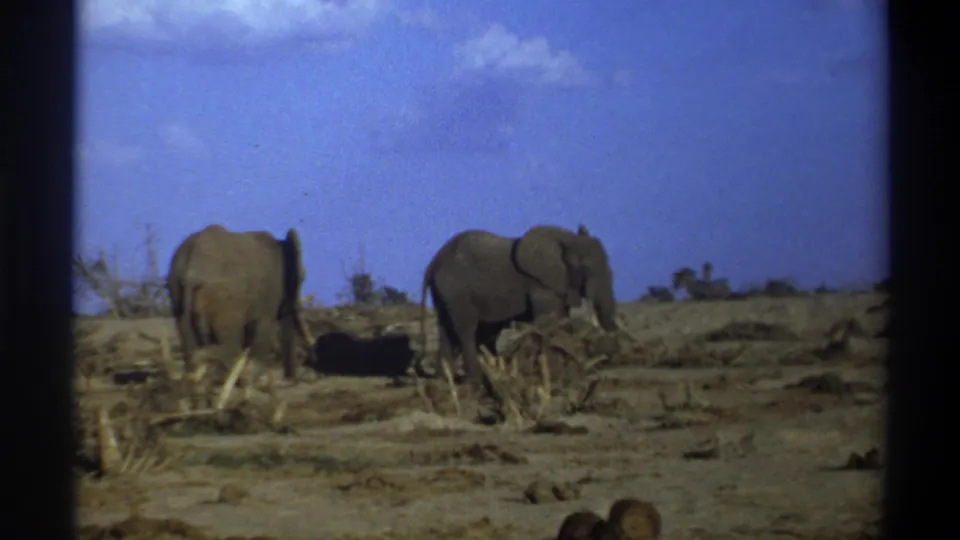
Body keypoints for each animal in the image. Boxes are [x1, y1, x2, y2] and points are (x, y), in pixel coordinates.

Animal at [165, 224, 315, 383]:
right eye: (302, 277)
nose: (292, 379)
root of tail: (192, 268)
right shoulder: (272, 288)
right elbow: (264, 328)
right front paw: (260, 379)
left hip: (176, 289)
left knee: (187, 335)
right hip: (225, 300)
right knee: (229, 340)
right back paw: (236, 379)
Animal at [416, 224, 619, 386]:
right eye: (587, 267)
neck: (566, 239)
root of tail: (433, 263)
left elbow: (561, 320)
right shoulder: (540, 284)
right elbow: (548, 322)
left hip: (444, 292)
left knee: (446, 329)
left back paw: (445, 380)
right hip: (456, 290)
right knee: (466, 329)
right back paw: (475, 381)